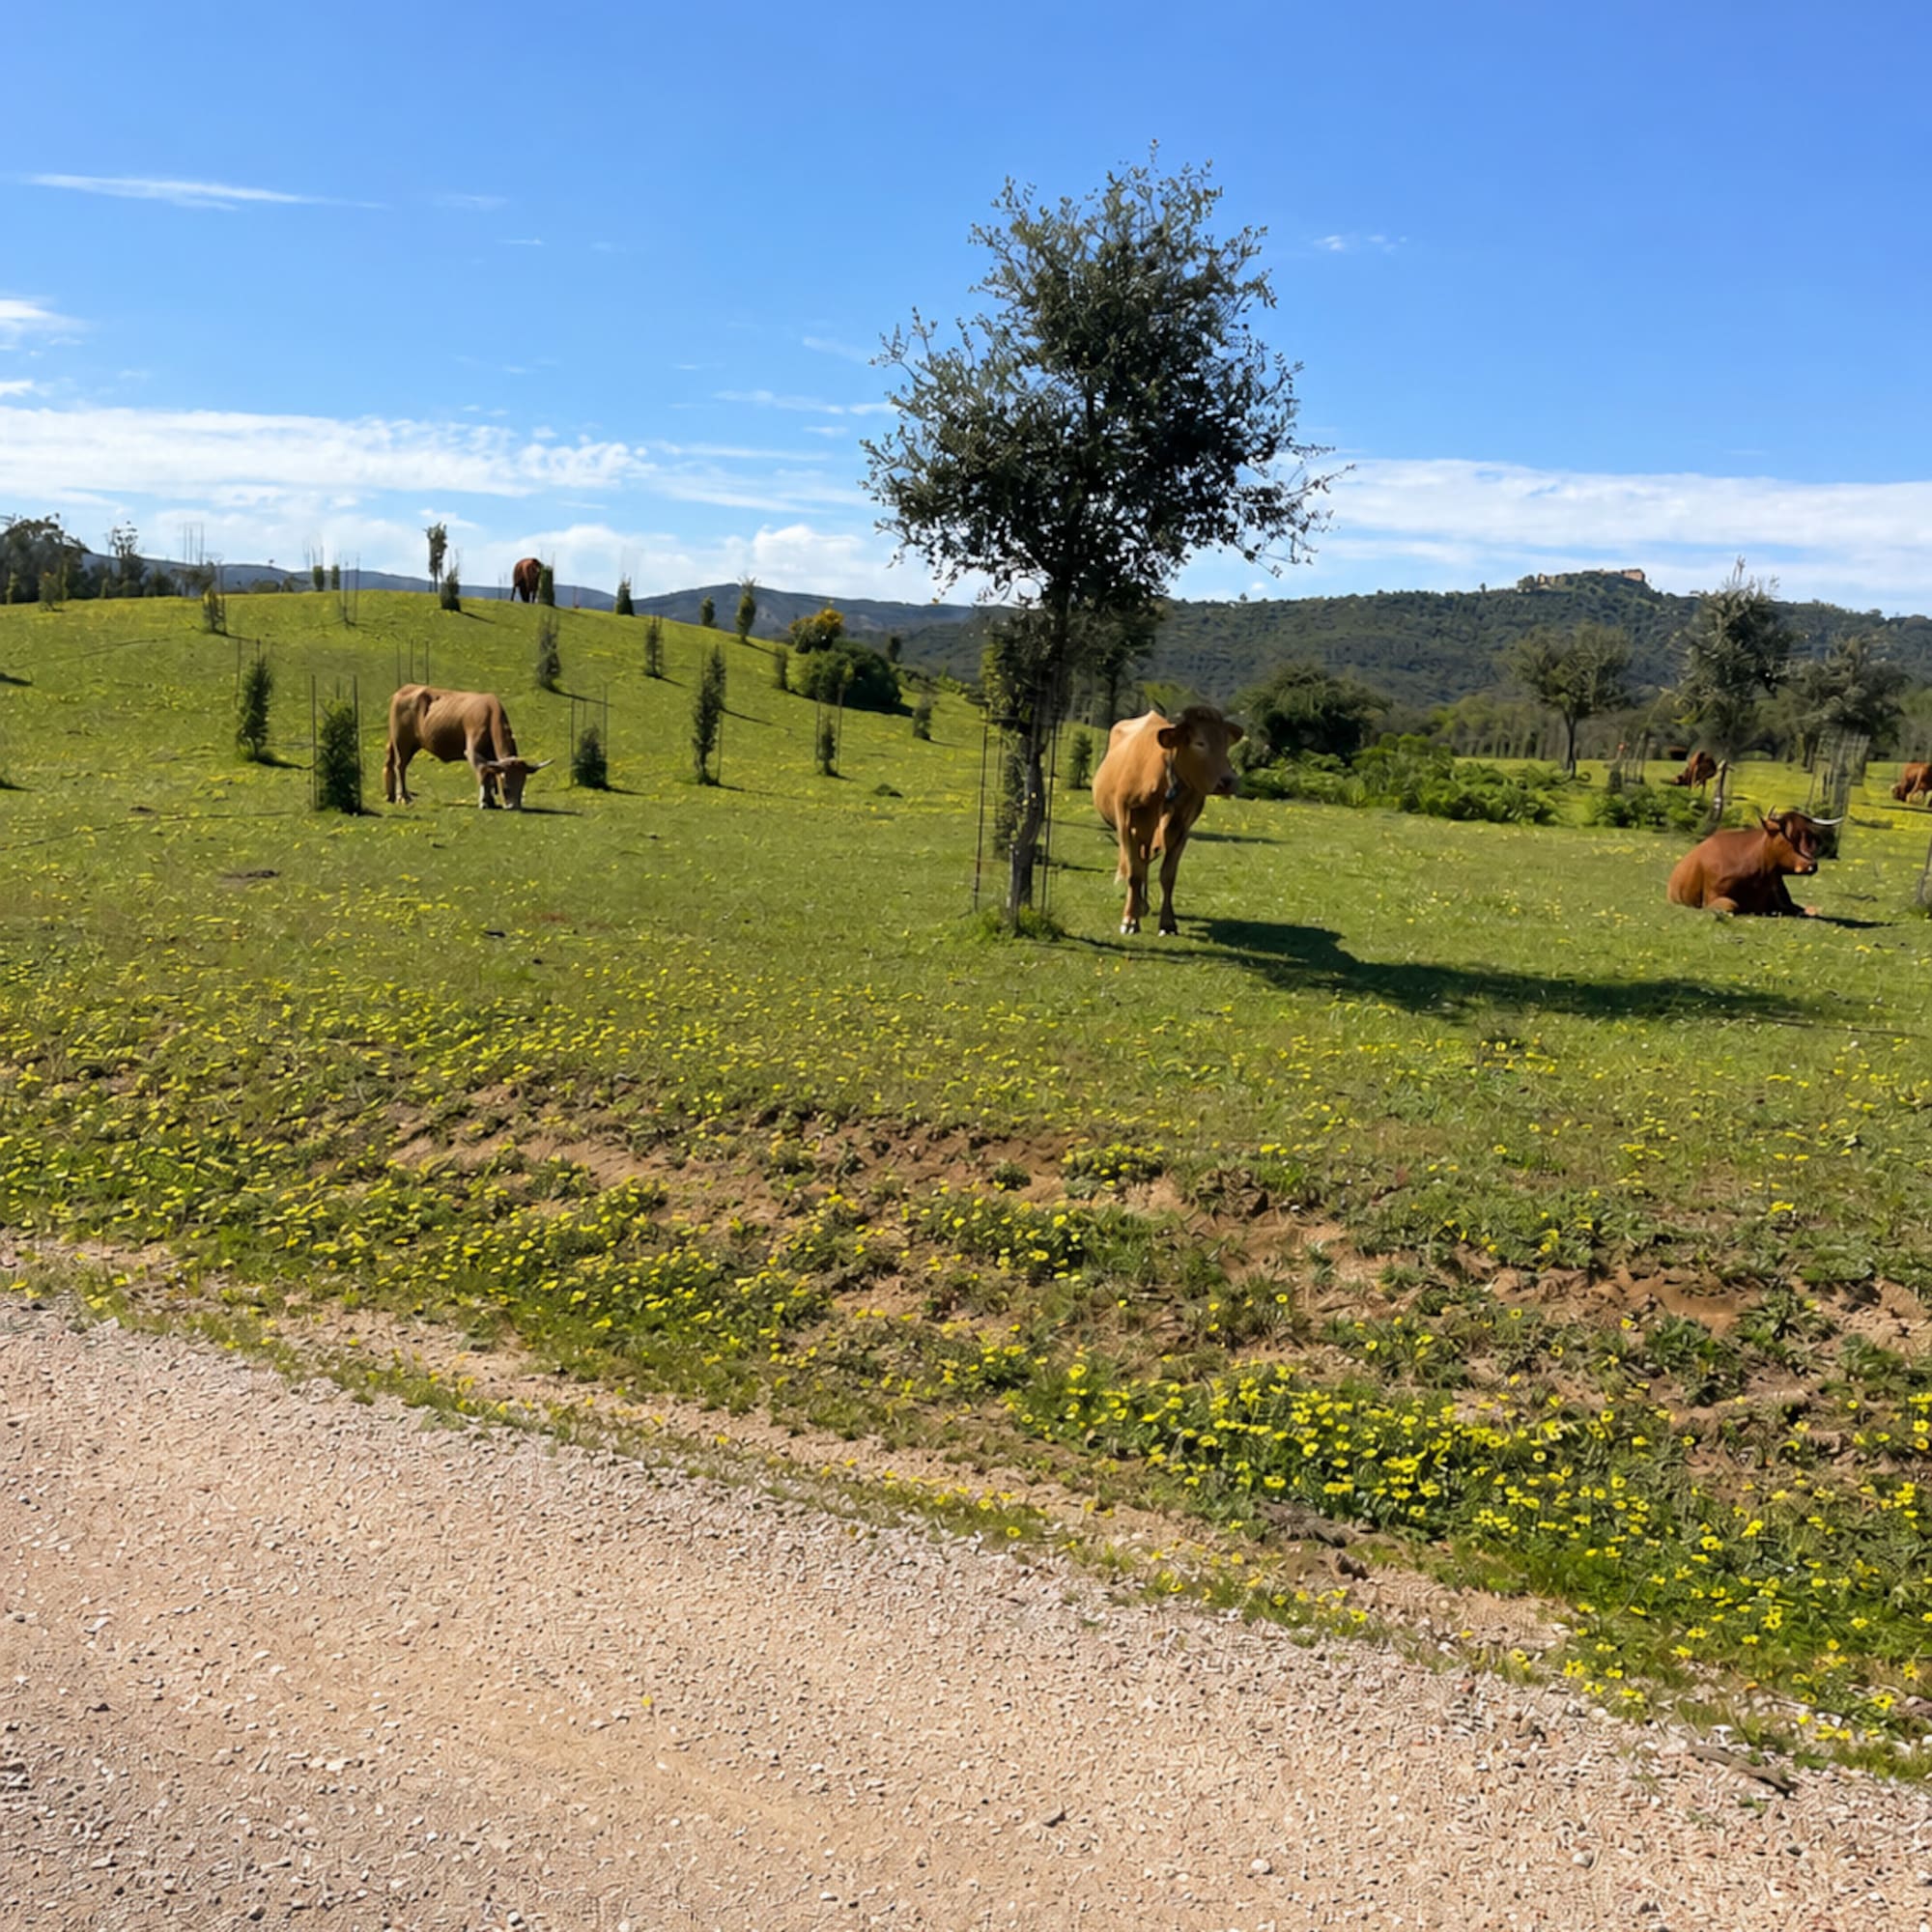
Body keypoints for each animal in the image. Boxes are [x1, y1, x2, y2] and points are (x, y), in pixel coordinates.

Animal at [383, 685, 550, 810]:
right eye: (506, 787)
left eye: (522, 785)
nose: (514, 806)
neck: (490, 715)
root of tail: (403, 690)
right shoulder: (472, 751)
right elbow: (482, 772)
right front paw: (484, 802)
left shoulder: (490, 757)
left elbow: (489, 773)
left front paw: (491, 801)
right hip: (402, 742)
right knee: (400, 766)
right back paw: (403, 797)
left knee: (391, 764)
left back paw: (391, 796)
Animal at [1092, 705, 1244, 936]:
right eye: (1199, 743)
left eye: (1226, 744)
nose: (1229, 781)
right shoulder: (1126, 823)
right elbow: (1133, 873)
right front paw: (1129, 919)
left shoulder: (1182, 829)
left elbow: (1167, 876)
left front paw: (1167, 923)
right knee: (1136, 865)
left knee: (1144, 861)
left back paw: (1143, 905)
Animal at [1665, 808, 1839, 917]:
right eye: (1789, 837)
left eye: (1810, 837)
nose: (1812, 865)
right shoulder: (1712, 898)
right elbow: (1732, 905)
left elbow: (1808, 909)